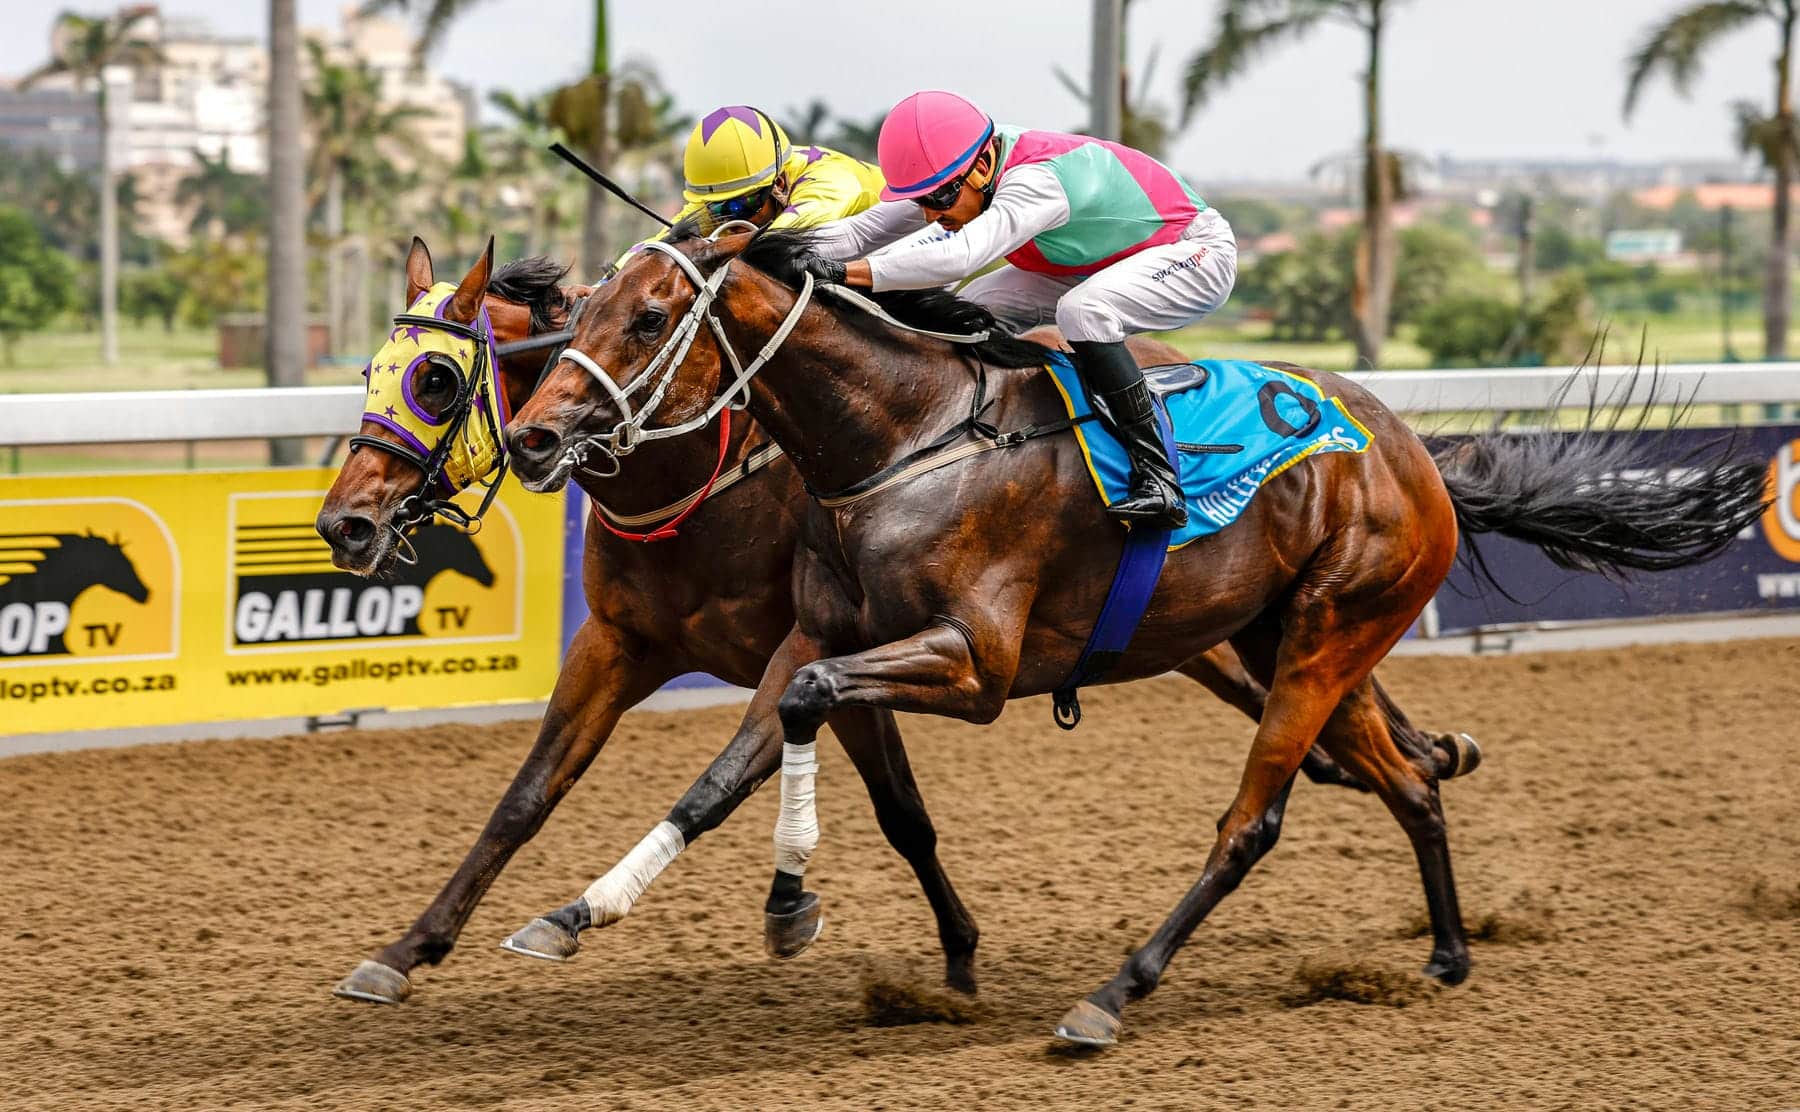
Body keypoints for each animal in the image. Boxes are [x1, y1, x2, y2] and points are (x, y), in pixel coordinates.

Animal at [316, 237, 1474, 1006]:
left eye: (436, 379)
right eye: (367, 371)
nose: (345, 521)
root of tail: (1400, 442)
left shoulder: (877, 657)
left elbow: (741, 778)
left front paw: (615, 910)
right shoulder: (627, 640)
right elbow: (527, 795)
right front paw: (406, 950)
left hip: (1303, 633)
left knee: (1293, 787)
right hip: (1253, 635)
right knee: (1383, 761)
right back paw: (1444, 913)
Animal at [499, 223, 1768, 1046]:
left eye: (649, 317)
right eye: (579, 313)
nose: (531, 438)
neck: (906, 439)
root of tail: (1416, 451)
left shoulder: (974, 662)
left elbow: (806, 712)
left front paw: (787, 906)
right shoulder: (817, 633)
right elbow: (772, 742)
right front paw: (617, 909)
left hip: (1322, 637)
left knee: (1253, 820)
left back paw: (1113, 993)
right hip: (1300, 638)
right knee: (1405, 779)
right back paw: (1448, 949)